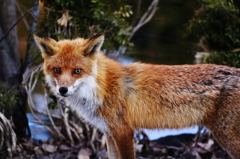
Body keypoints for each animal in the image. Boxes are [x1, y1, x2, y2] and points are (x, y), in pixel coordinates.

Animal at [34, 33, 240, 159]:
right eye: (57, 70)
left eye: (77, 71)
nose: (63, 90)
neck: (102, 87)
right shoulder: (109, 132)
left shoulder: (123, 131)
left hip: (226, 137)